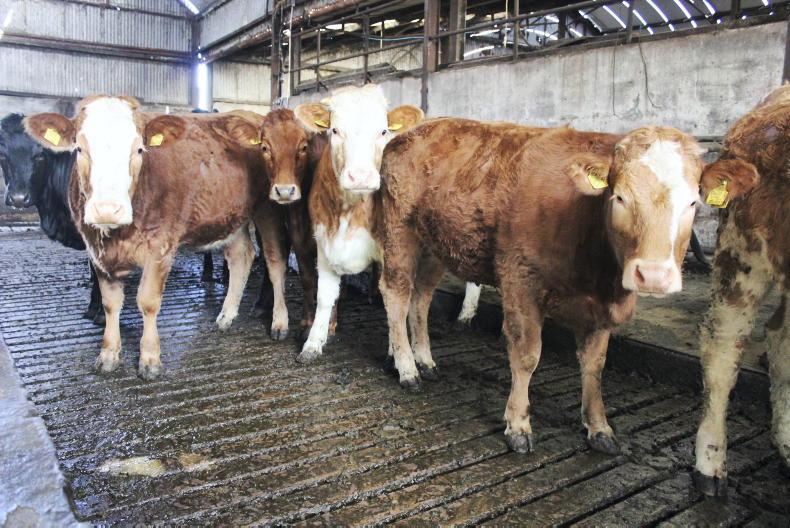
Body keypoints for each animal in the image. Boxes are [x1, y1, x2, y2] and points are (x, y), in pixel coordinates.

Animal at [25, 96, 278, 379]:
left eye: (139, 150)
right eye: (79, 149)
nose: (107, 209)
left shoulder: (161, 247)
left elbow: (147, 302)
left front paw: (149, 358)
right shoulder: (96, 250)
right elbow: (111, 303)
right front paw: (108, 354)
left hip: (268, 209)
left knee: (272, 257)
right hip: (231, 217)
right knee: (241, 257)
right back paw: (226, 316)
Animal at [292, 84, 423, 363]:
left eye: (383, 131)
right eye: (335, 130)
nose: (361, 176)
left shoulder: (390, 247)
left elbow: (392, 298)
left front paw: (395, 351)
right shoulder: (323, 242)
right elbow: (325, 296)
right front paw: (313, 342)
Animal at [376, 119, 704, 455]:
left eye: (693, 202)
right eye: (620, 197)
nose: (652, 275)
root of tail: (413, 130)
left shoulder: (600, 310)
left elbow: (595, 365)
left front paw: (599, 427)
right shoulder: (520, 281)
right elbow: (527, 355)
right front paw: (518, 426)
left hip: (435, 243)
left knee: (421, 297)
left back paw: (425, 360)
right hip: (399, 229)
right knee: (396, 292)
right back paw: (407, 368)